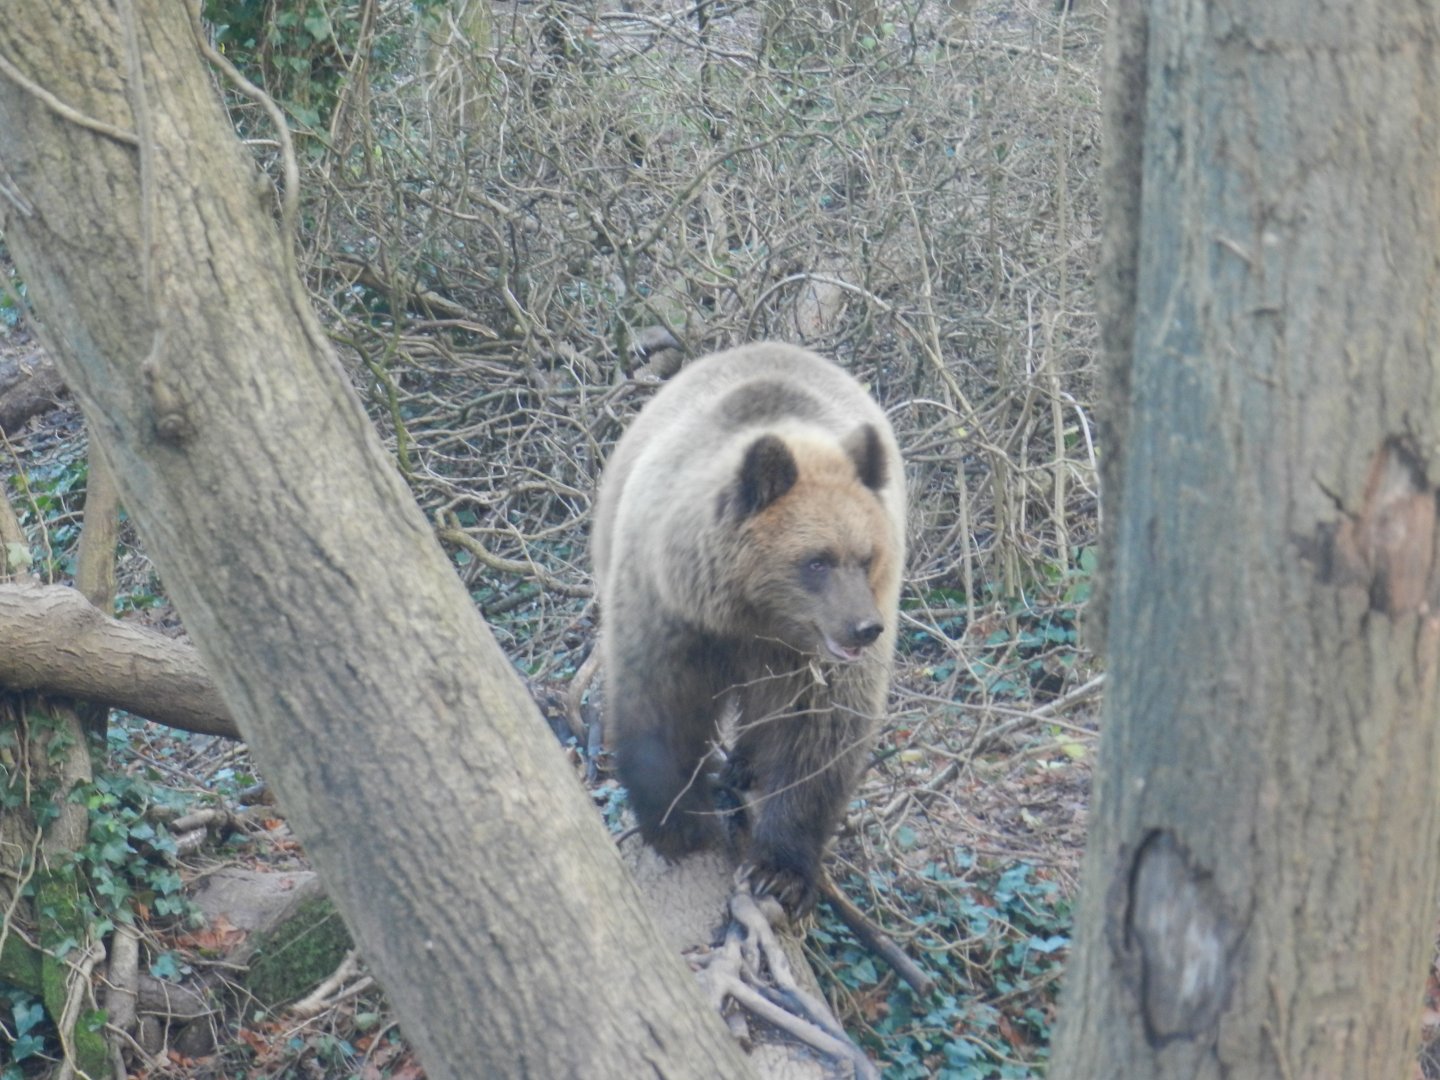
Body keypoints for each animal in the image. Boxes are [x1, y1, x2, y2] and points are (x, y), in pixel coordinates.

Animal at [593, 342, 905, 916]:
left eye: (867, 556)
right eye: (816, 561)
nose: (864, 628)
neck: (751, 615)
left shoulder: (813, 665)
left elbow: (819, 738)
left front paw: (779, 870)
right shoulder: (671, 616)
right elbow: (659, 710)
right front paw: (680, 826)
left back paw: (745, 763)